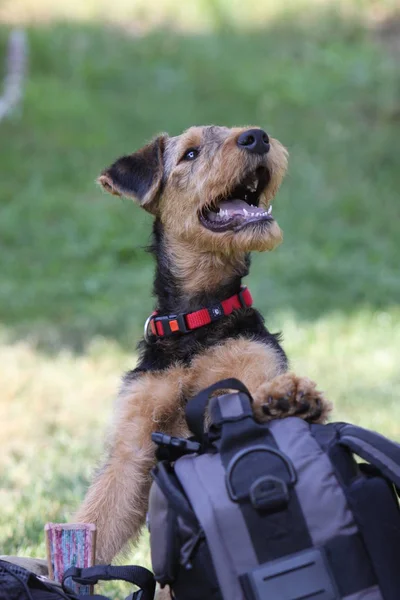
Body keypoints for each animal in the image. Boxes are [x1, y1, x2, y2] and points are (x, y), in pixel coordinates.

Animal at [76, 124, 332, 564]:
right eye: (190, 154)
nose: (257, 136)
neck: (197, 320)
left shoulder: (252, 372)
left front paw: (291, 399)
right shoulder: (132, 450)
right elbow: (92, 526)